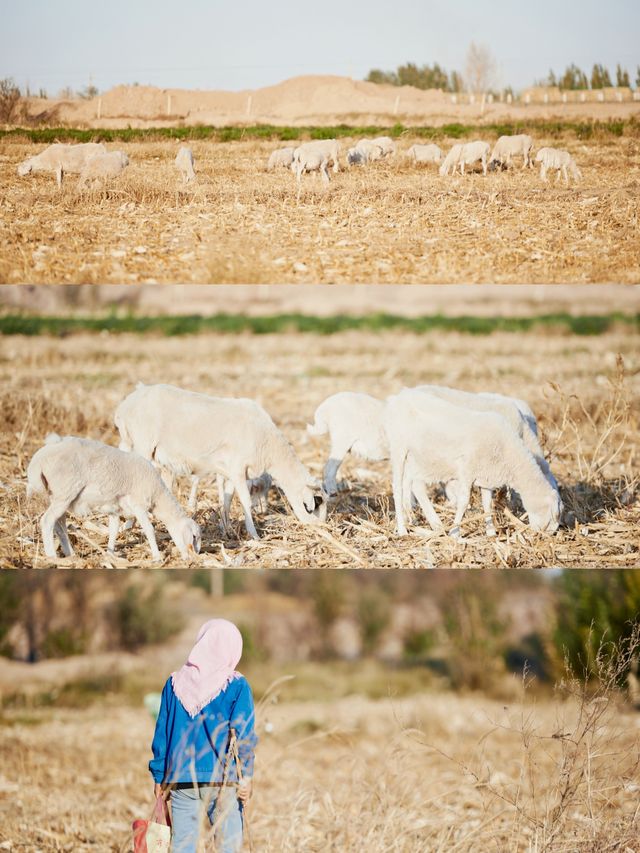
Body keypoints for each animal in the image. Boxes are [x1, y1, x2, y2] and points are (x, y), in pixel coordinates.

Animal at [26, 436, 201, 564]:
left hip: (59, 497)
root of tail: (37, 462)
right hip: (65, 492)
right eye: (194, 537)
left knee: (59, 524)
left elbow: (113, 530)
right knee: (47, 521)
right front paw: (157, 557)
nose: (194, 558)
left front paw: (110, 555)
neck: (158, 496)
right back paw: (51, 556)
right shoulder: (138, 504)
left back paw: (70, 554)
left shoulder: (114, 509)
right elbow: (149, 529)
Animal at [113, 382, 328, 540]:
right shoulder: (238, 467)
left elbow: (227, 499)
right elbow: (245, 501)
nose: (321, 527)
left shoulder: (231, 471)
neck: (269, 448)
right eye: (316, 503)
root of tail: (127, 403)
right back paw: (129, 524)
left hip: (132, 444)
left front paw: (227, 530)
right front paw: (254, 536)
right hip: (142, 444)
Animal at [382, 390, 564, 536]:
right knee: (398, 488)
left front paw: (491, 532)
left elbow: (487, 505)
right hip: (399, 448)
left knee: (415, 485)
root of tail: (398, 396)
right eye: (552, 517)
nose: (544, 536)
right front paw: (456, 533)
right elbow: (464, 502)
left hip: (420, 457)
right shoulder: (466, 470)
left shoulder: (487, 475)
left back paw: (432, 524)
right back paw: (403, 529)